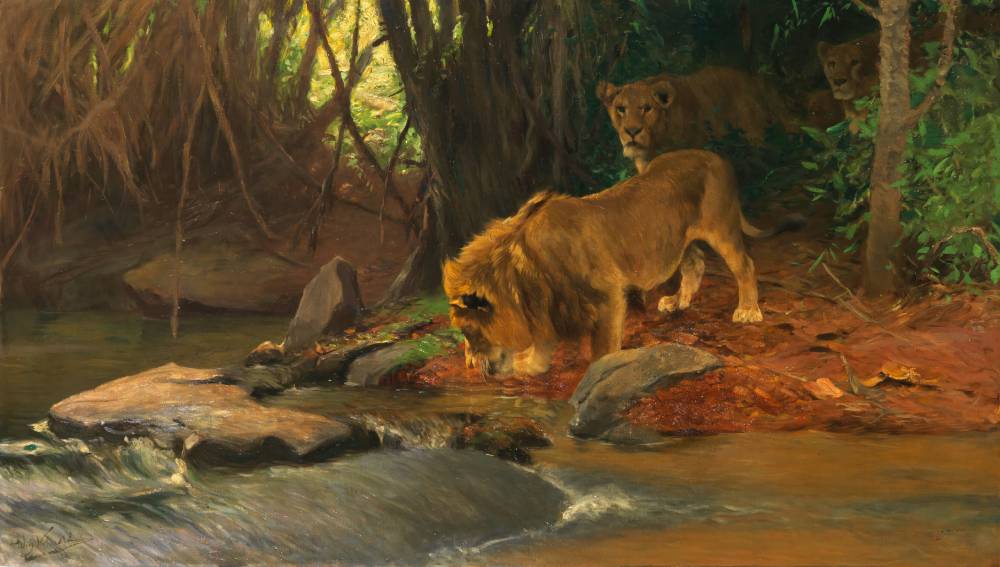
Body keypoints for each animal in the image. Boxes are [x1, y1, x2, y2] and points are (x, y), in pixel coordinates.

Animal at [444, 149, 804, 377]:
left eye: (469, 331)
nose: (478, 367)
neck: (521, 278)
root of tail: (717, 157)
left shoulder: (608, 296)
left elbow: (602, 350)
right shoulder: (551, 307)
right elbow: (542, 348)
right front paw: (528, 365)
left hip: (721, 228)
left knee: (745, 264)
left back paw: (748, 310)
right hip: (679, 239)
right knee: (695, 263)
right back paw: (678, 301)